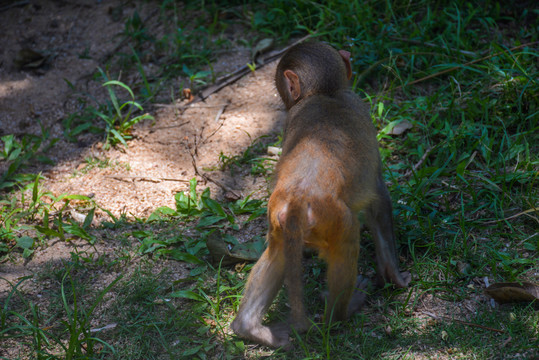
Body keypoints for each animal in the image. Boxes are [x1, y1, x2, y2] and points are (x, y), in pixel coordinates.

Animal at [230, 41, 412, 348]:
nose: (287, 100)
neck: (324, 93)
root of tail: (298, 199)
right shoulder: (360, 108)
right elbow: (378, 199)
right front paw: (394, 276)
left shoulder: (291, 120)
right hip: (334, 221)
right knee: (348, 241)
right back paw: (339, 316)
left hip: (281, 217)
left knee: (278, 250)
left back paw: (249, 328)